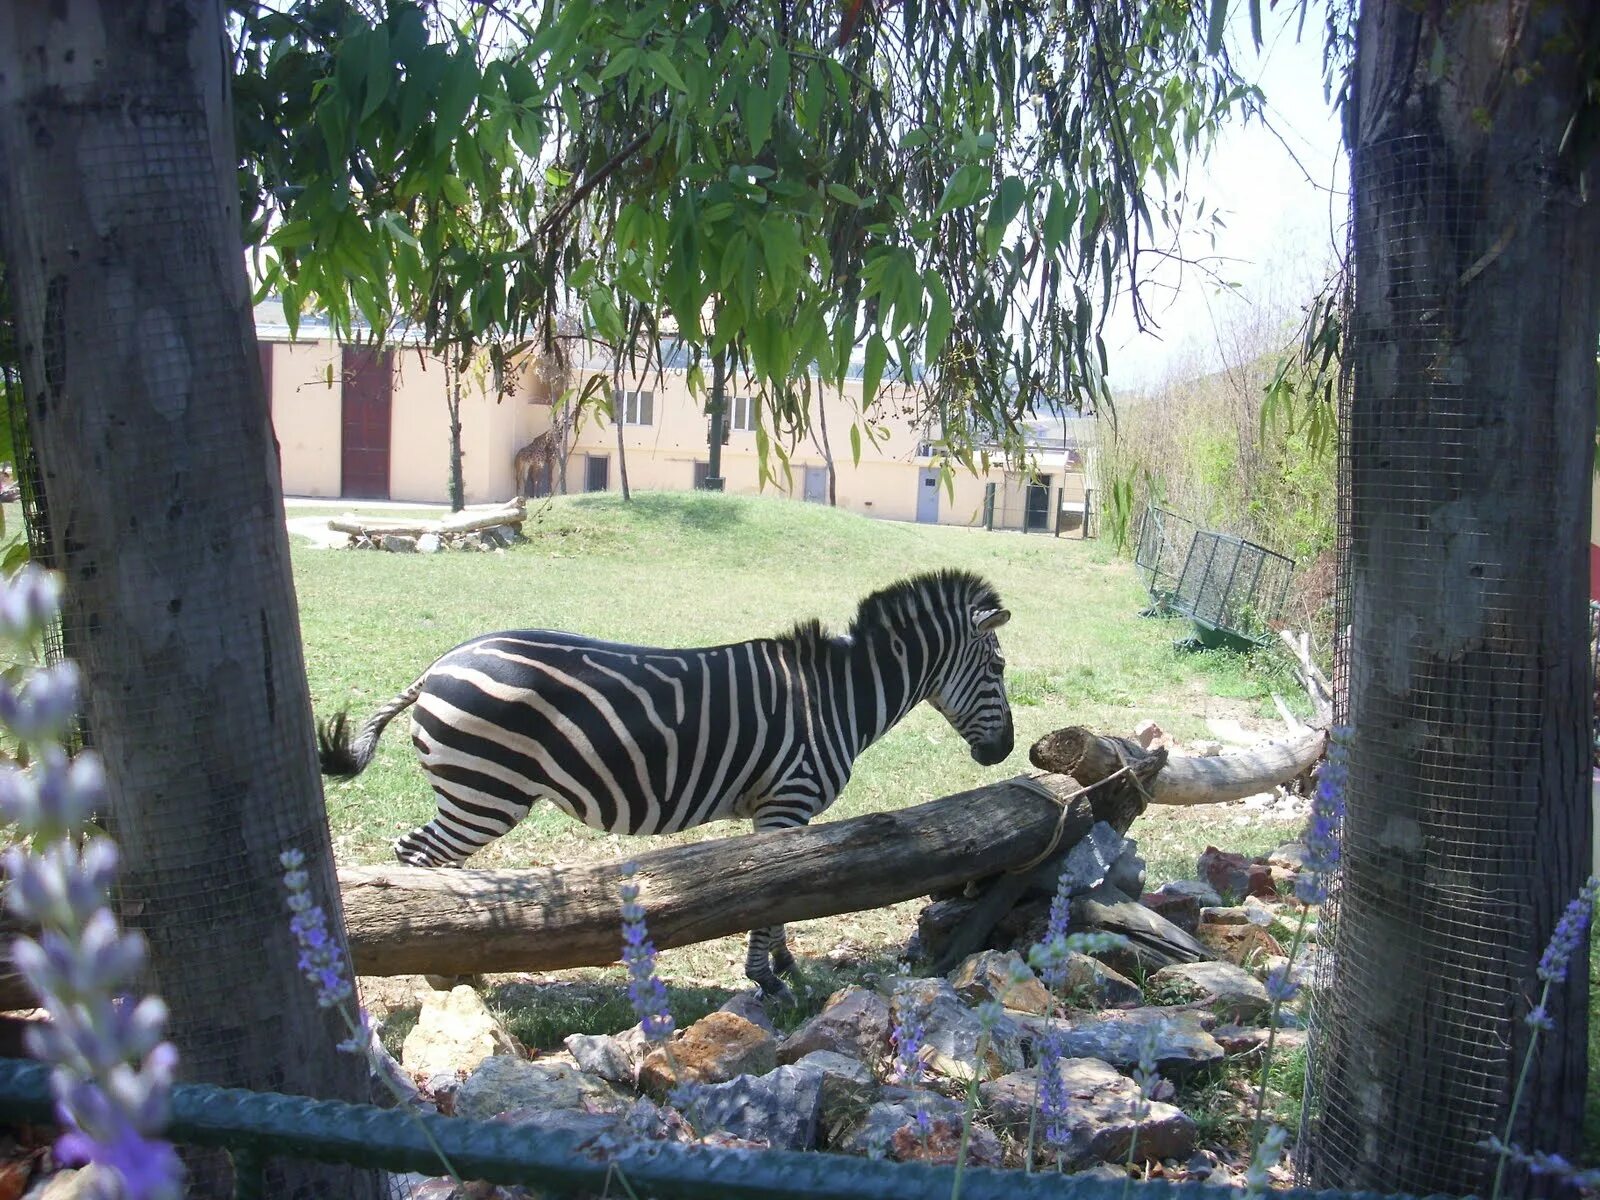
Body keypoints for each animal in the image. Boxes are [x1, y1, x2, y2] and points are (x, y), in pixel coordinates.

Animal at [318, 569, 1011, 998]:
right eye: (1000, 668)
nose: (1002, 751)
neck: (835, 697)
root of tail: (438, 664)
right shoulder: (786, 802)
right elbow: (774, 901)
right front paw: (767, 981)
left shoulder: (781, 813)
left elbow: (791, 893)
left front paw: (784, 968)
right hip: (484, 792)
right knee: (418, 858)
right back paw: (443, 972)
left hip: (474, 793)